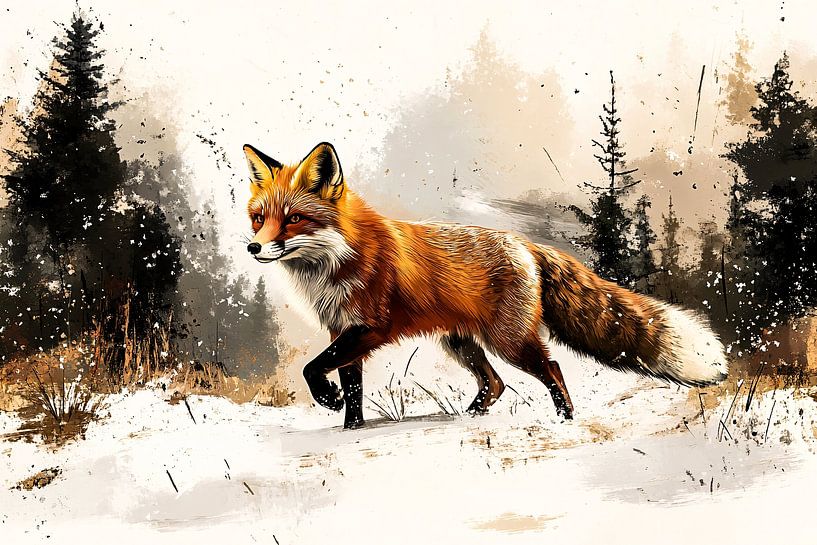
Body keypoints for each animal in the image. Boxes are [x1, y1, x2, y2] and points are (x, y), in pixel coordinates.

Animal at [243, 142, 728, 429]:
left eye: (294, 218)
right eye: (258, 217)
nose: (253, 247)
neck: (333, 263)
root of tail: (527, 245)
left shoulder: (369, 328)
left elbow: (313, 368)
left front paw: (327, 398)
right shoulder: (342, 330)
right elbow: (353, 391)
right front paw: (349, 427)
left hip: (508, 341)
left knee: (551, 368)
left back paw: (564, 418)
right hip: (459, 343)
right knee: (495, 385)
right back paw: (469, 416)